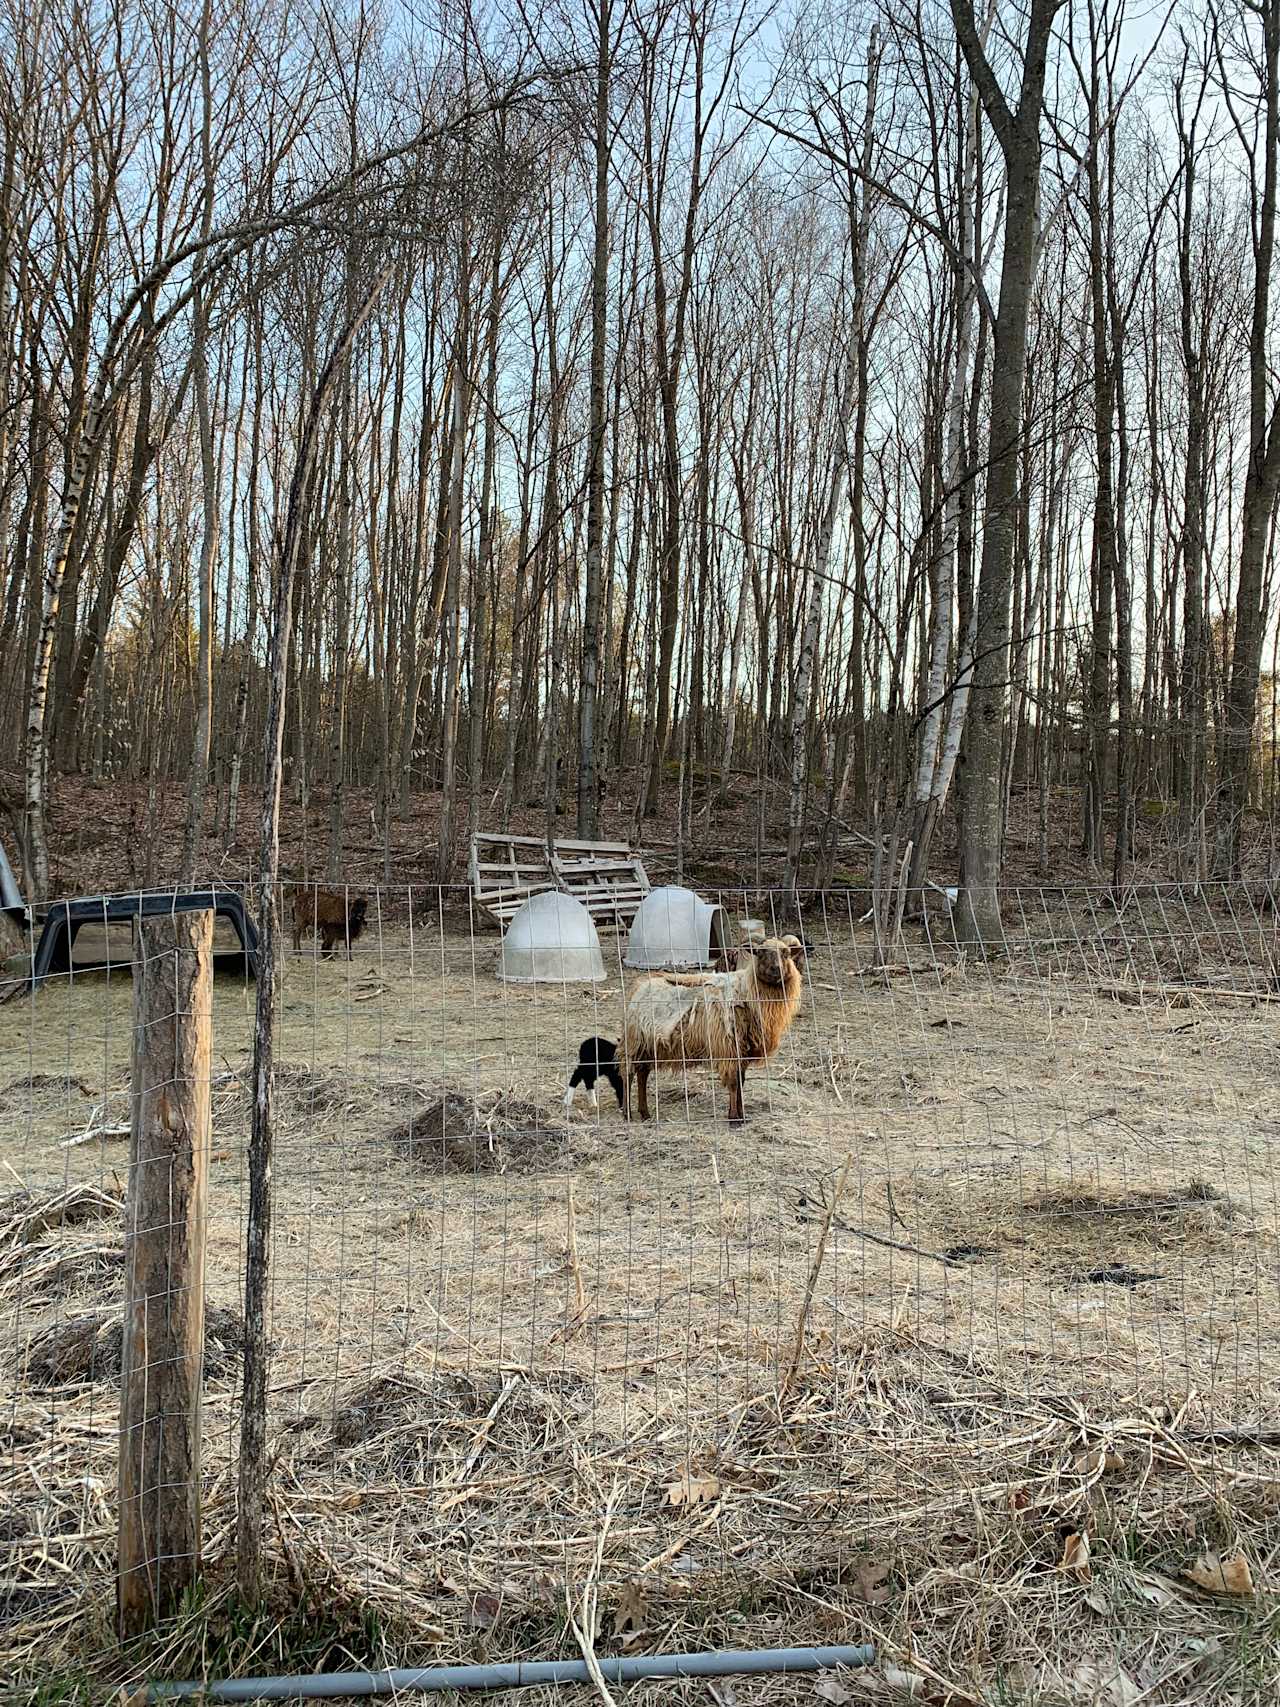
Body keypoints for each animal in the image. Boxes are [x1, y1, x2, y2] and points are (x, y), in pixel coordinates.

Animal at [617, 935, 802, 1119]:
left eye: (786, 953)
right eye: (760, 952)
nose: (776, 969)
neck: (745, 992)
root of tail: (639, 986)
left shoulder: (742, 1051)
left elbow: (741, 1081)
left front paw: (741, 1113)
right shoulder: (728, 1048)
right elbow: (734, 1083)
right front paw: (734, 1117)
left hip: (648, 1046)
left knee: (642, 1074)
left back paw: (645, 1112)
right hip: (635, 1042)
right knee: (628, 1074)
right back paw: (627, 1113)